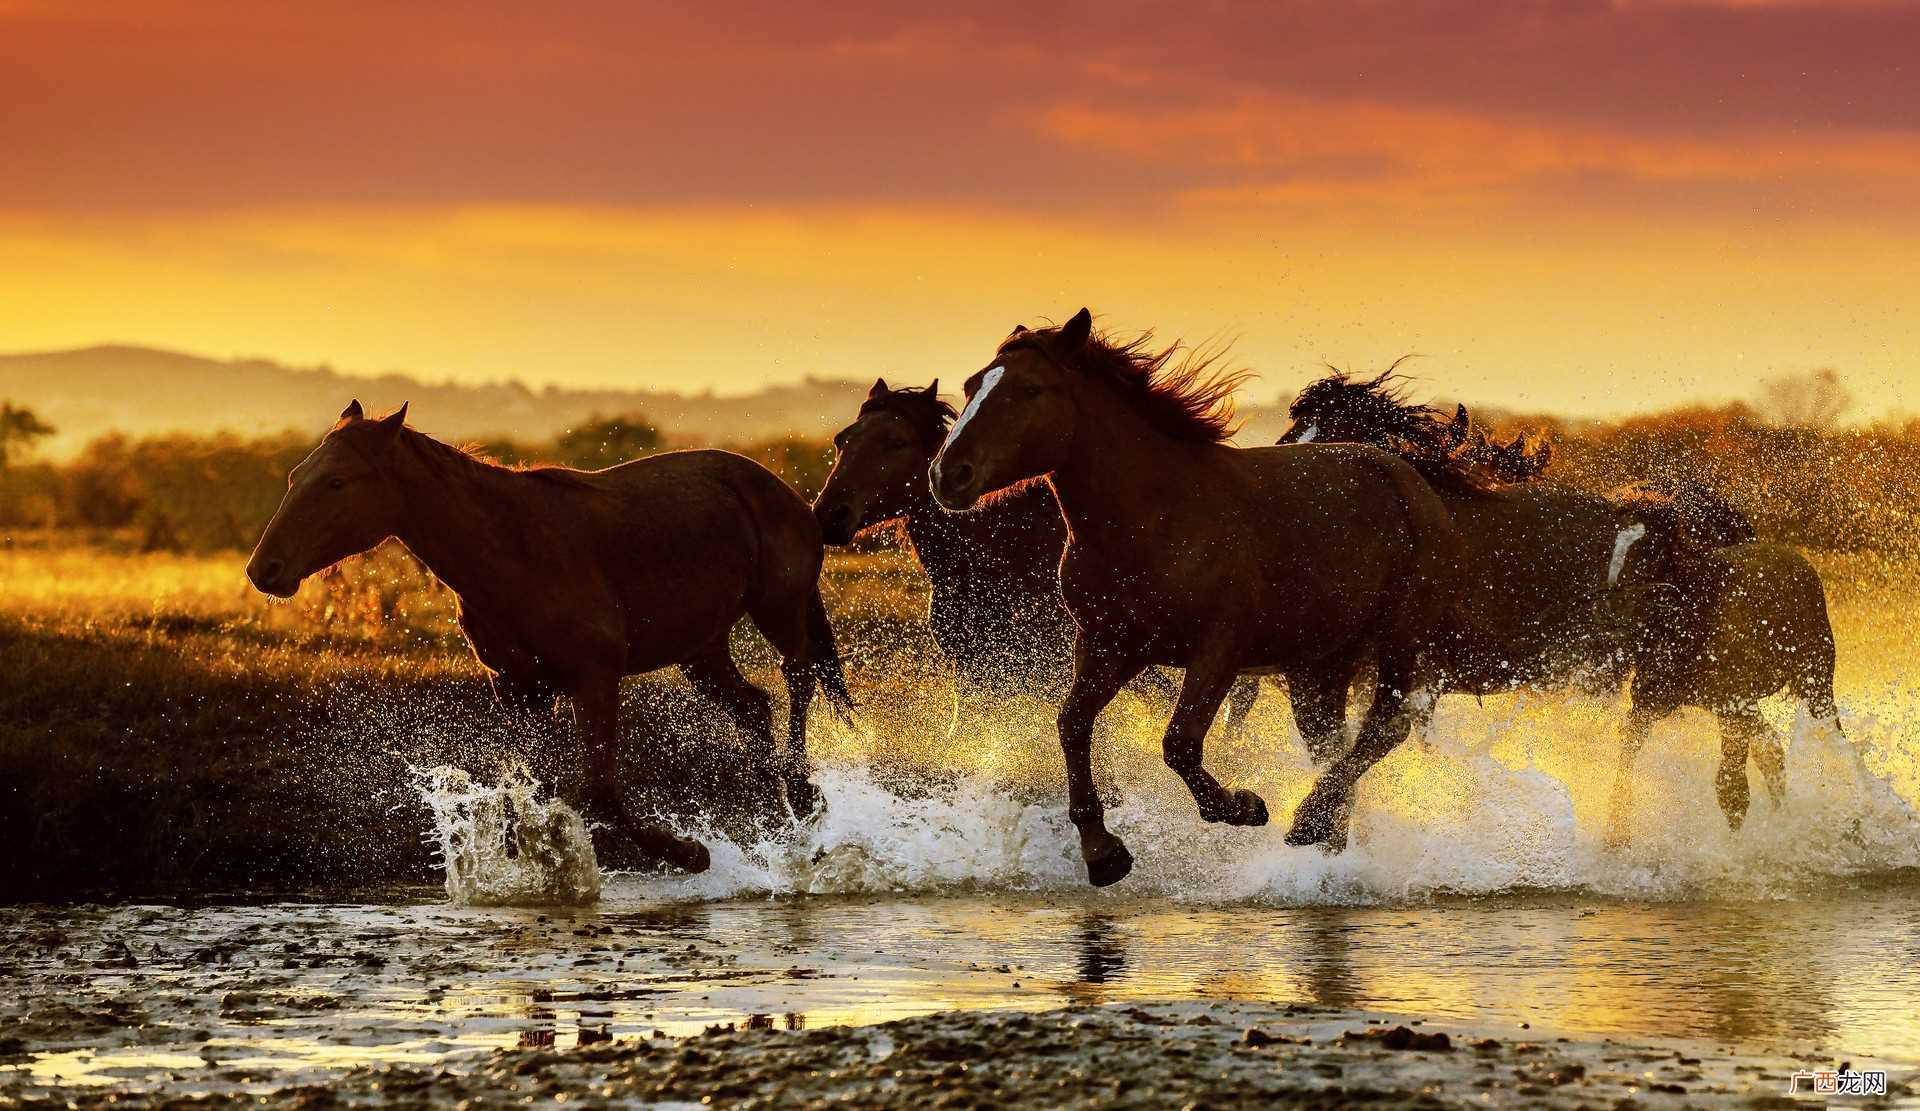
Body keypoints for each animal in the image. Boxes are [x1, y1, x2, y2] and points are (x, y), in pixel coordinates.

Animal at [245, 401, 853, 873]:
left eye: (337, 482)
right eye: (297, 476)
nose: (264, 569)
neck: (512, 550)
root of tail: (788, 495)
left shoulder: (594, 678)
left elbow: (597, 793)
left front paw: (689, 853)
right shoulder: (520, 688)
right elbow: (540, 790)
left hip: (778, 608)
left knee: (799, 675)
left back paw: (804, 797)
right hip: (700, 649)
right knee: (755, 707)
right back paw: (782, 816)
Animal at [929, 309, 1466, 886]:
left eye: (1030, 389)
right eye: (971, 385)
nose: (947, 475)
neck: (1157, 521)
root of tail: (1407, 477)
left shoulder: (1217, 652)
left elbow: (1180, 742)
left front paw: (1244, 806)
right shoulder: (1108, 646)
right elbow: (1072, 725)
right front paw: (1103, 854)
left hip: (1399, 640)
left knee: (1386, 728)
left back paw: (1306, 822)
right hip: (1318, 664)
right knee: (1332, 743)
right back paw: (1327, 841)